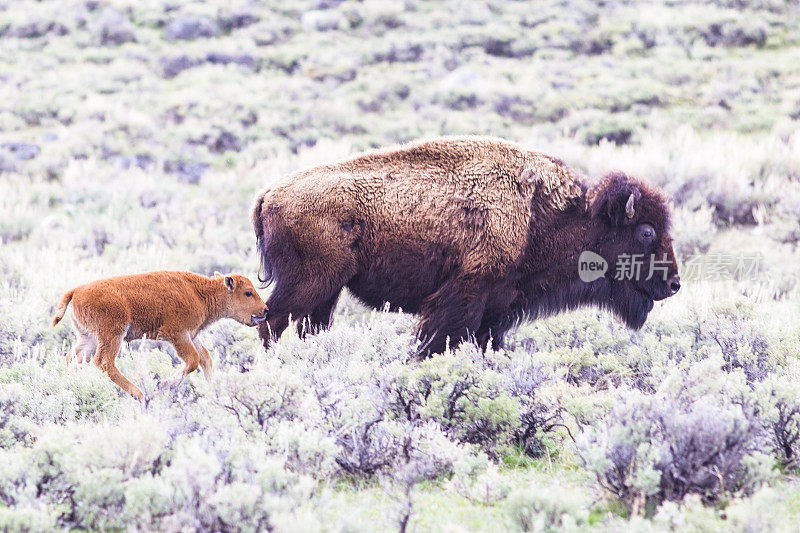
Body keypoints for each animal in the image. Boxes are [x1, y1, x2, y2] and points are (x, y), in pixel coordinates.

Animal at [50, 270, 268, 400]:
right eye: (248, 292)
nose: (265, 310)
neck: (199, 292)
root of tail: (77, 291)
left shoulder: (192, 336)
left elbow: (206, 359)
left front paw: (213, 392)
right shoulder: (178, 335)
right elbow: (193, 360)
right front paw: (162, 385)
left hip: (89, 339)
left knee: (73, 358)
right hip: (112, 335)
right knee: (104, 362)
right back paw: (139, 394)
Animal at [252, 136, 680, 354]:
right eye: (646, 232)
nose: (674, 283)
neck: (538, 215)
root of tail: (269, 193)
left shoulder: (497, 309)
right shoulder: (464, 296)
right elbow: (439, 339)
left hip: (328, 291)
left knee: (305, 327)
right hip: (309, 283)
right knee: (272, 321)